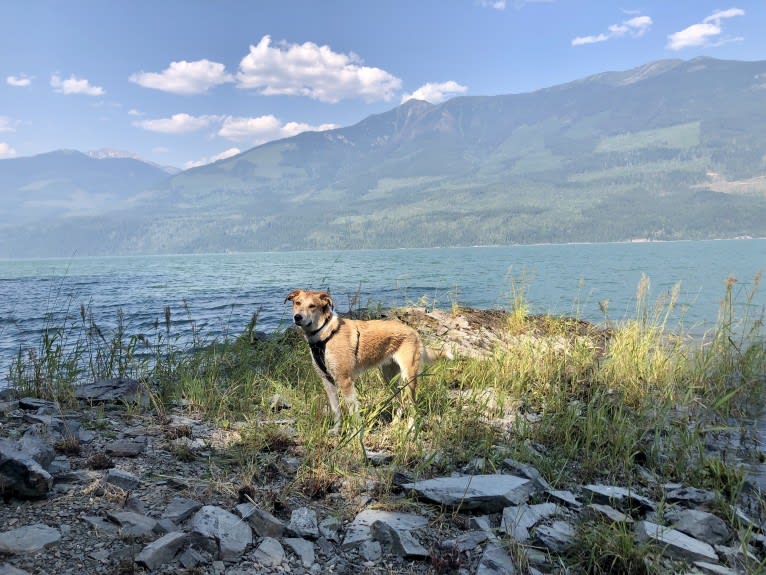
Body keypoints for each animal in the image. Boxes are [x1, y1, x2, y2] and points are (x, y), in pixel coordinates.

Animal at [284, 290, 448, 434]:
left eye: (312, 306)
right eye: (297, 303)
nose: (297, 317)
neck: (325, 334)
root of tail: (414, 331)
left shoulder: (345, 381)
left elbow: (353, 412)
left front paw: (356, 435)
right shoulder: (327, 381)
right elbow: (336, 410)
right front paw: (337, 431)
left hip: (409, 378)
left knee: (413, 405)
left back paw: (411, 429)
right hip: (389, 377)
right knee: (401, 400)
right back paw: (395, 423)